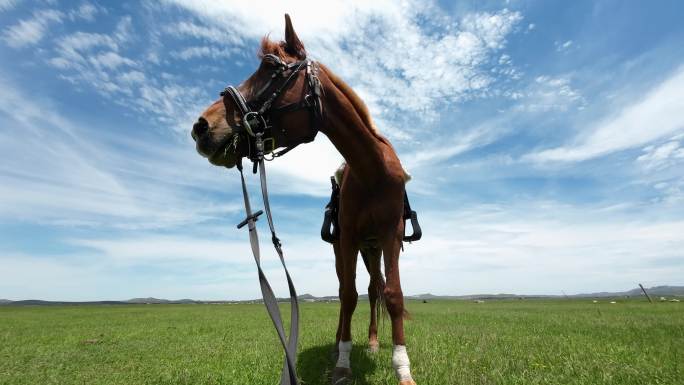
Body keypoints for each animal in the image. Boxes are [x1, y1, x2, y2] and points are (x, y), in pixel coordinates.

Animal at [191, 15, 416, 384]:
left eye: (271, 68)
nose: (201, 126)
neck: (372, 170)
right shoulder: (348, 239)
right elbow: (347, 296)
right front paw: (342, 363)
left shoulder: (391, 236)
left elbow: (393, 295)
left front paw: (402, 367)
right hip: (349, 248)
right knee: (347, 291)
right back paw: (343, 345)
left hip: (372, 248)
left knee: (372, 290)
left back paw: (370, 343)